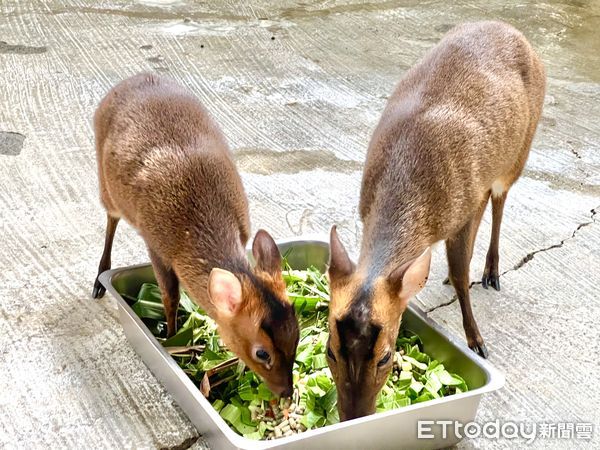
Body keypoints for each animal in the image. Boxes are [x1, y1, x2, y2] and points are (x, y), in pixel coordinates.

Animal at [91, 72, 298, 396]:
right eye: (262, 352)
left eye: (297, 337)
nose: (286, 392)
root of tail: (132, 79)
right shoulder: (157, 245)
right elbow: (170, 296)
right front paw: (172, 338)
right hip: (105, 183)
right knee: (110, 218)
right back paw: (100, 279)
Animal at [326, 21, 548, 420]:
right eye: (329, 350)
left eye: (385, 357)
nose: (354, 416)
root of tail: (515, 32)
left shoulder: (466, 203)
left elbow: (462, 273)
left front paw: (477, 341)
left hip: (518, 153)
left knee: (500, 201)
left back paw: (491, 272)